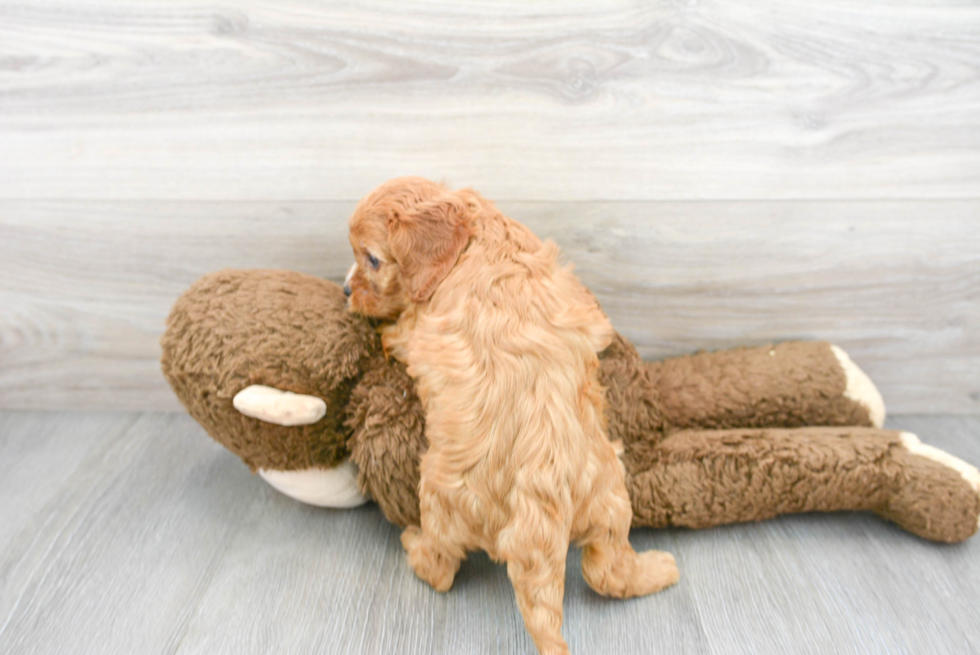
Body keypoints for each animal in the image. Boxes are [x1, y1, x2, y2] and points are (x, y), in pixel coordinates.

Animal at [348, 177, 676, 652]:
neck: (477, 238)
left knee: (441, 568)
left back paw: (414, 545)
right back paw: (661, 570)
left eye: (372, 259)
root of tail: (543, 494)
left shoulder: (418, 327)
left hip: (441, 496)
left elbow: (400, 331)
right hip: (611, 497)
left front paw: (381, 329)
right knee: (607, 569)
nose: (345, 291)